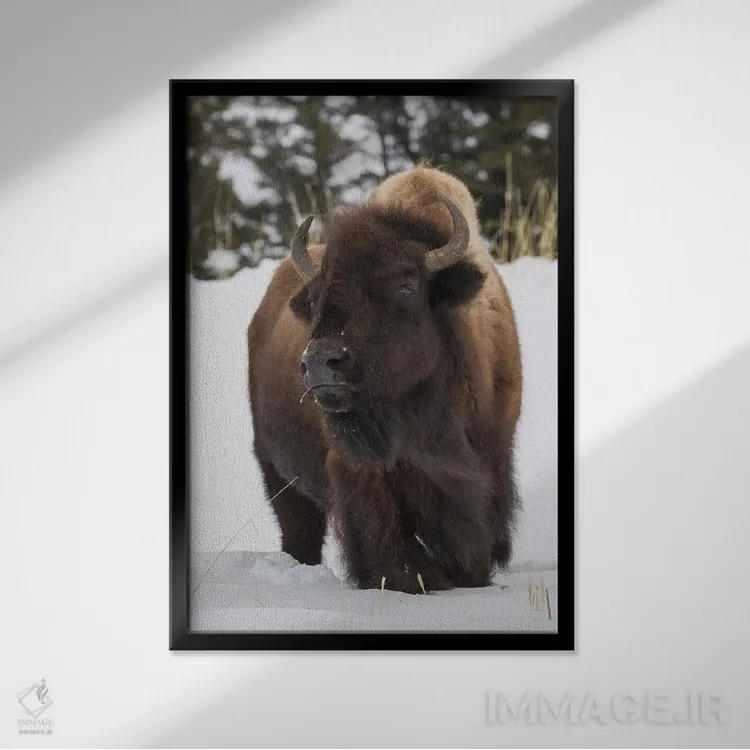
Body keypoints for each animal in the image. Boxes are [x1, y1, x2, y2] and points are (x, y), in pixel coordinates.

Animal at [247, 167, 522, 593]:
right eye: (318, 297)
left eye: (406, 287)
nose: (320, 362)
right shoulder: (362, 473)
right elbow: (387, 544)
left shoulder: (491, 461)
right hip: (278, 473)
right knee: (300, 531)